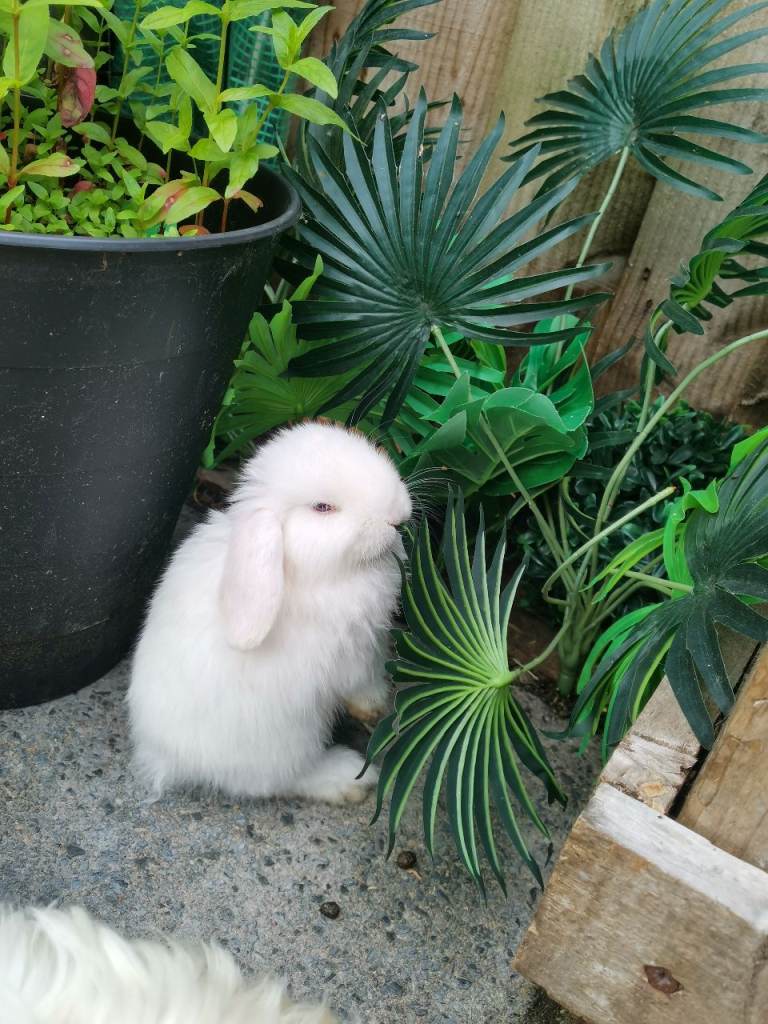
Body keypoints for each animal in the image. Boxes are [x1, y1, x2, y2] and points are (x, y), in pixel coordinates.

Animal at [127, 421, 412, 805]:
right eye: (323, 507)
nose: (398, 516)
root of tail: (166, 756)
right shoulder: (350, 653)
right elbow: (362, 679)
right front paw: (375, 708)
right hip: (289, 739)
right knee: (279, 780)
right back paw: (348, 779)